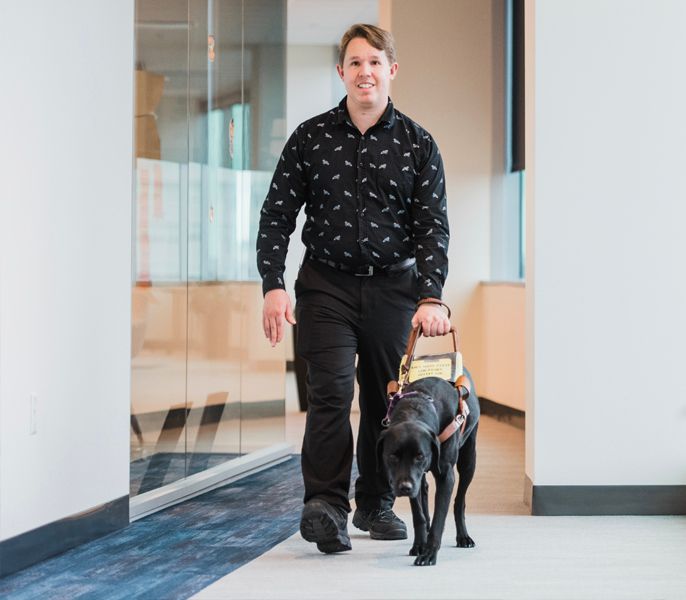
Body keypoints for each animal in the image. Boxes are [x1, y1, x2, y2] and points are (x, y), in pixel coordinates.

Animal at [378, 372, 482, 564]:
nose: (404, 488)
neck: (417, 407)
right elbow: (418, 514)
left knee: (459, 501)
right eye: (393, 456)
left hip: (469, 459)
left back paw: (463, 536)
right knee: (424, 490)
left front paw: (429, 552)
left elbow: (439, 517)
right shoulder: (412, 480)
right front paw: (420, 545)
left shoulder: (445, 477)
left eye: (420, 456)